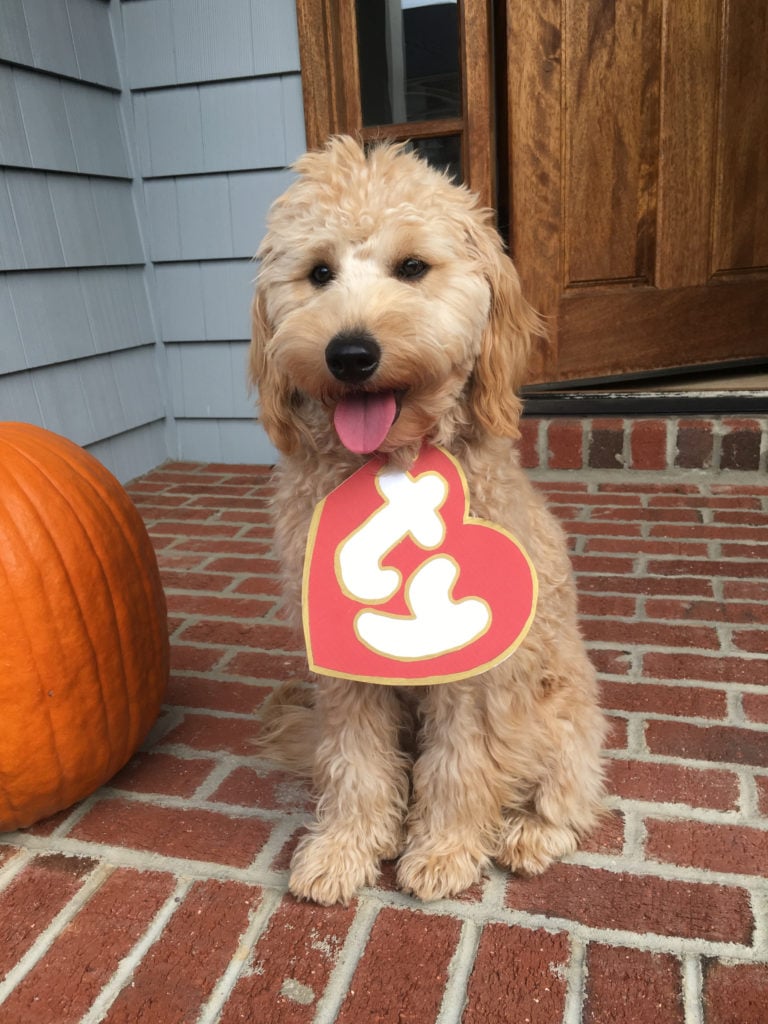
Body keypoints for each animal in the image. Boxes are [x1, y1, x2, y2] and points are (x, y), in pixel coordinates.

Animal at [250, 134, 606, 905]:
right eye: (318, 273)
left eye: (412, 267)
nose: (350, 353)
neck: (390, 467)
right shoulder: (341, 658)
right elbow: (354, 762)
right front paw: (345, 849)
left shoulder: (475, 664)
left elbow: (459, 763)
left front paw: (443, 849)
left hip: (561, 711)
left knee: (572, 791)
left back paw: (529, 834)